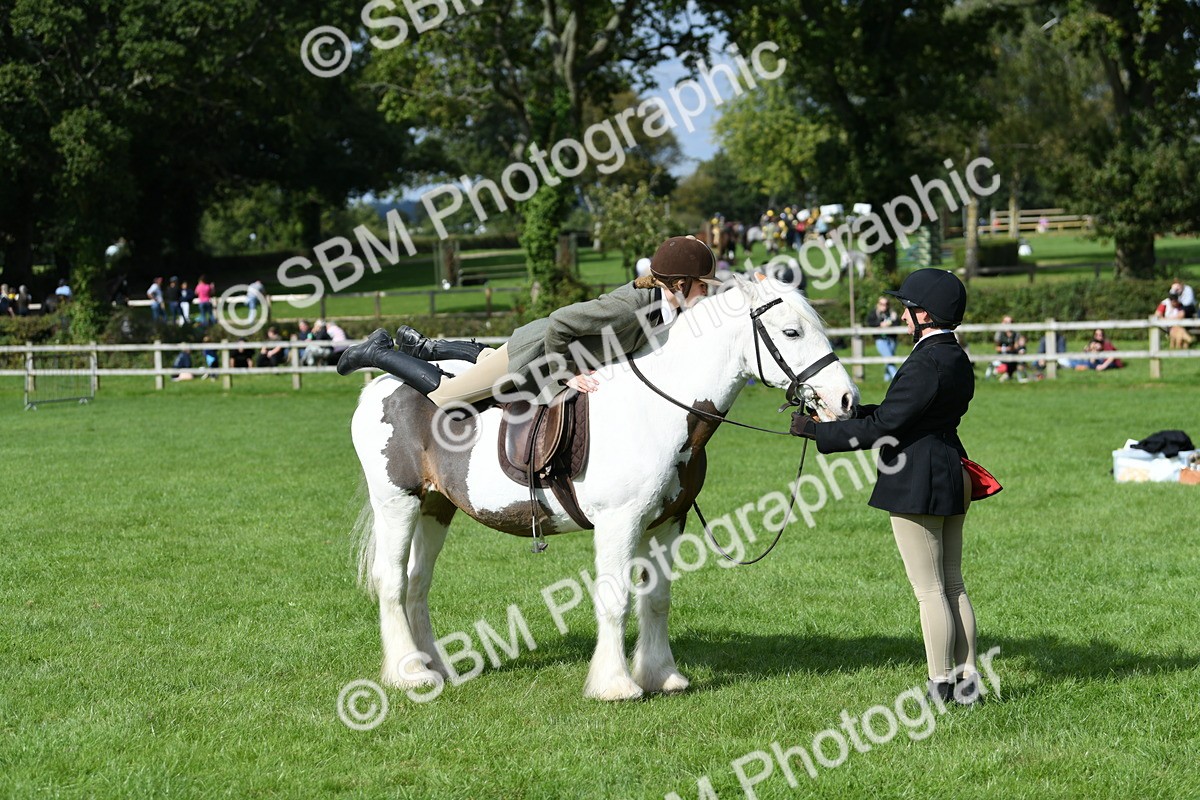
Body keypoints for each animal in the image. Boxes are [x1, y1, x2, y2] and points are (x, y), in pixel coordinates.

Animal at [349, 278, 859, 701]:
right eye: (791, 332)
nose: (846, 400)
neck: (659, 408)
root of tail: (379, 389)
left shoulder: (666, 522)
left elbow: (656, 600)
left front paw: (661, 676)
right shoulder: (620, 522)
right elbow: (616, 599)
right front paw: (615, 685)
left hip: (436, 506)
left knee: (417, 583)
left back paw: (434, 666)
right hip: (397, 502)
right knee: (392, 581)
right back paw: (409, 673)